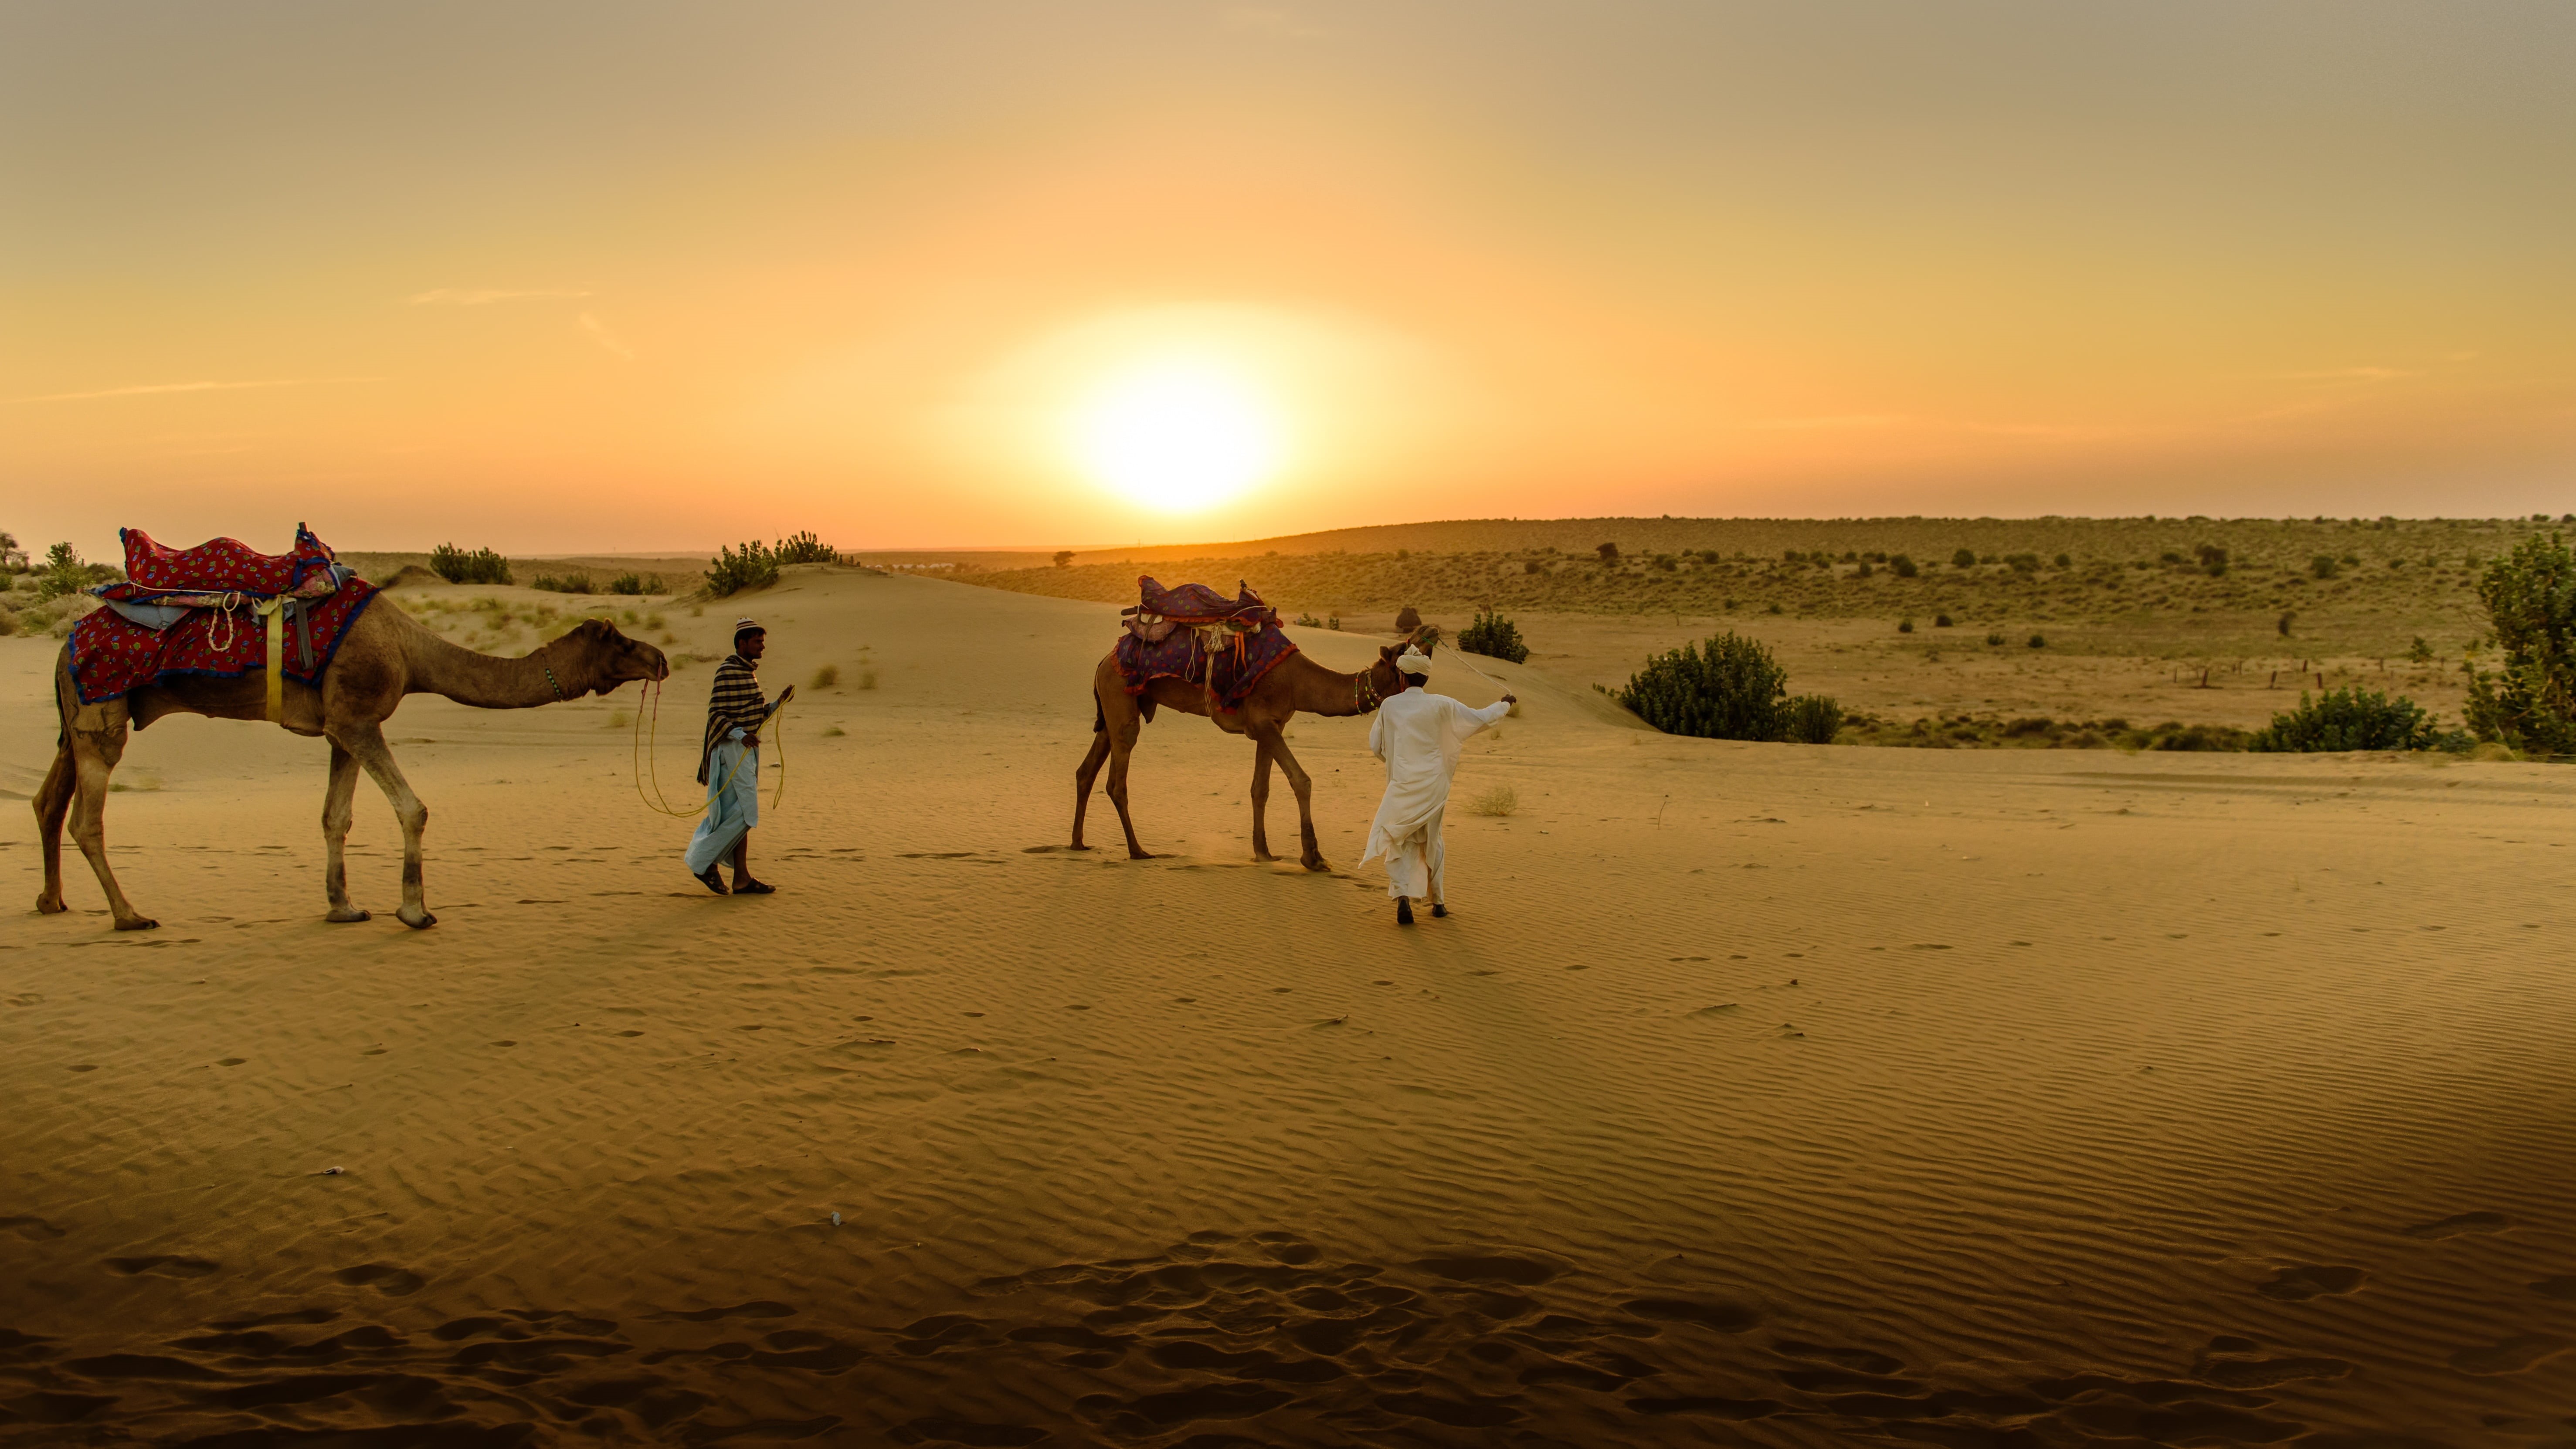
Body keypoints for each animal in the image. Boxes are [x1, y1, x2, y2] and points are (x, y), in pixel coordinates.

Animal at [34, 606, 669, 931]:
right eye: (620, 643)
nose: (661, 659)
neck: (412, 652)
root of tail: (63, 646)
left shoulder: (340, 727)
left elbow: (334, 817)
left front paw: (343, 906)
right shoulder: (360, 718)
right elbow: (414, 807)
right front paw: (414, 910)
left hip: (79, 719)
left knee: (49, 802)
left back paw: (51, 901)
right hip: (102, 717)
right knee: (86, 819)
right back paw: (129, 915)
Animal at [1072, 629, 1431, 869]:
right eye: (1403, 651)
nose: (1429, 634)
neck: (1298, 682)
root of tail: (1103, 662)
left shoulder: (1273, 725)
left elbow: (1261, 788)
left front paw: (1264, 852)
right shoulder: (1262, 723)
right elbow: (1301, 780)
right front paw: (1313, 857)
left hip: (1113, 707)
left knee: (1087, 770)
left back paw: (1078, 843)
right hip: (1120, 698)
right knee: (1117, 779)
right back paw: (1137, 850)